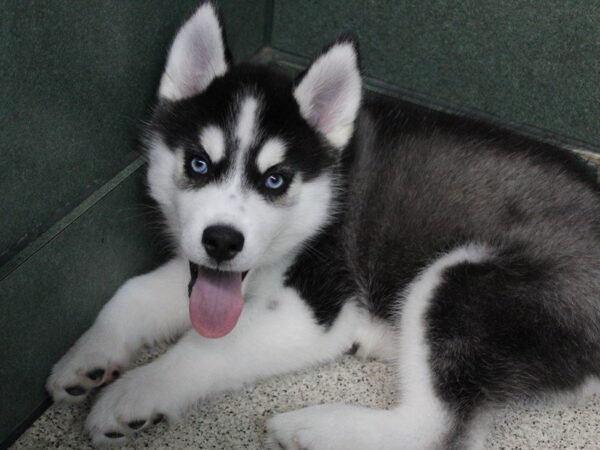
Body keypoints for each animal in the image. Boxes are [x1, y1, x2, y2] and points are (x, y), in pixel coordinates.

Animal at [47, 1, 600, 448]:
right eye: (199, 164)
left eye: (275, 179)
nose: (223, 241)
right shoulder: (206, 270)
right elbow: (133, 291)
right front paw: (87, 357)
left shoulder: (314, 306)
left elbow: (207, 345)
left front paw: (135, 391)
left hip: (463, 280)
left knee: (432, 428)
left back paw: (314, 428)